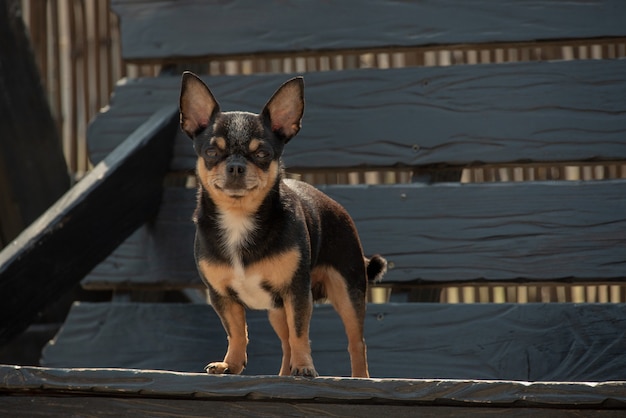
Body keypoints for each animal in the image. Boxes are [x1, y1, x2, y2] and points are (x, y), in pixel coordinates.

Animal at [178, 72, 386, 378]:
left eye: (263, 154)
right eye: (212, 152)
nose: (236, 166)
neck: (239, 218)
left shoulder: (297, 292)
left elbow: (301, 332)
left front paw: (304, 367)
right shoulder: (222, 296)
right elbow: (237, 332)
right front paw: (231, 364)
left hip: (348, 291)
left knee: (355, 342)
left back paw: (360, 378)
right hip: (276, 309)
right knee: (285, 341)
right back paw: (283, 374)